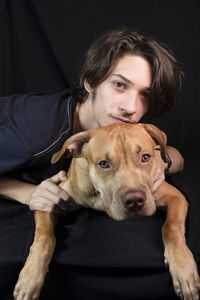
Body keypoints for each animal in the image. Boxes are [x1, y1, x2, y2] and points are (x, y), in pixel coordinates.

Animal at [14, 123, 200, 300]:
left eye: (145, 157)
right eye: (103, 163)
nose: (134, 201)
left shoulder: (175, 197)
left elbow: (170, 228)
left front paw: (183, 269)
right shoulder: (48, 200)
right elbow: (44, 237)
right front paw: (30, 279)